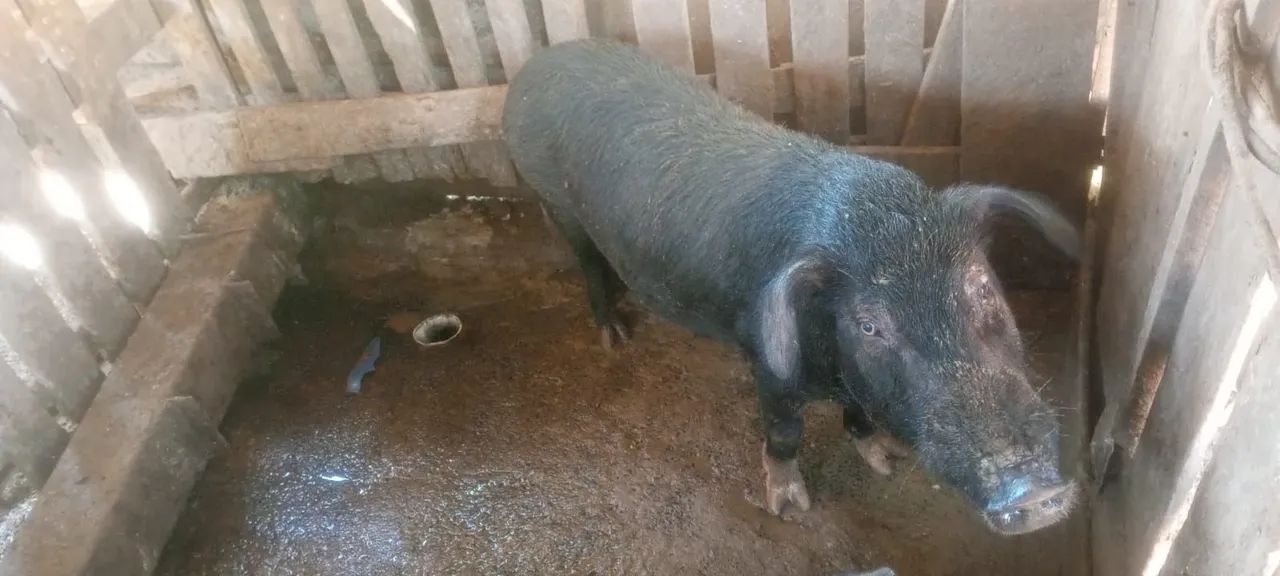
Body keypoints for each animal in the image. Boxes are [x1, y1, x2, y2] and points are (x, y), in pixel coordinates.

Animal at [502, 39, 1079, 535]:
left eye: (981, 287)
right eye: (870, 325)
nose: (1032, 492)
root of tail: (534, 67)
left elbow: (861, 417)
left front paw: (886, 463)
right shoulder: (767, 362)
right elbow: (784, 433)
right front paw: (788, 507)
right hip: (555, 199)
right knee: (588, 263)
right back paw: (614, 336)